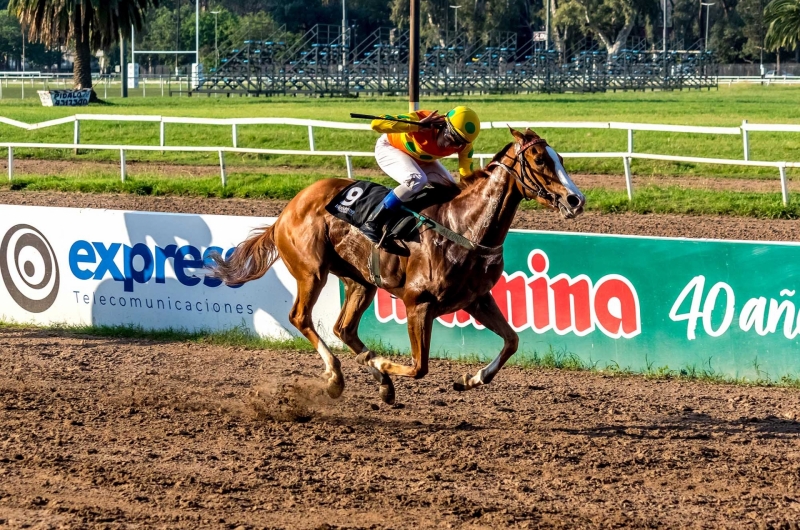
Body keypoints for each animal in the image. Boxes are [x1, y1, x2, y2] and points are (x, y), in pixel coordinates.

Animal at [209, 127, 584, 400]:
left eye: (561, 158)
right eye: (539, 160)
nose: (575, 200)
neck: (464, 226)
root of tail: (286, 211)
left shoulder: (476, 299)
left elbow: (512, 341)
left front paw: (471, 378)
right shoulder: (418, 303)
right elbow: (419, 367)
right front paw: (383, 362)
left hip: (361, 280)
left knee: (343, 328)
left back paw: (379, 379)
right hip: (311, 272)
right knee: (301, 318)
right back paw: (337, 375)